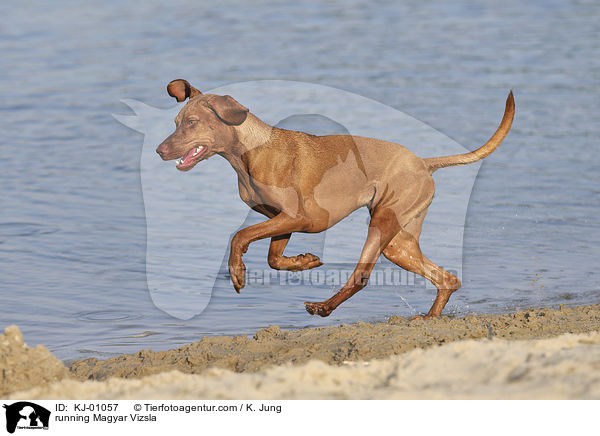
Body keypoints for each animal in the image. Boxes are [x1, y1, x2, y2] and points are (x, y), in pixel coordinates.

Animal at [157, 79, 512, 316]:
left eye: (192, 123)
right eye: (176, 122)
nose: (159, 150)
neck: (249, 152)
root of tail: (423, 162)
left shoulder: (297, 217)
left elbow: (240, 236)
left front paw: (237, 272)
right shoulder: (280, 220)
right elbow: (273, 258)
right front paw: (304, 261)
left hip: (382, 225)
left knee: (361, 277)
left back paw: (324, 307)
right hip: (399, 243)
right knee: (447, 279)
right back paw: (429, 319)